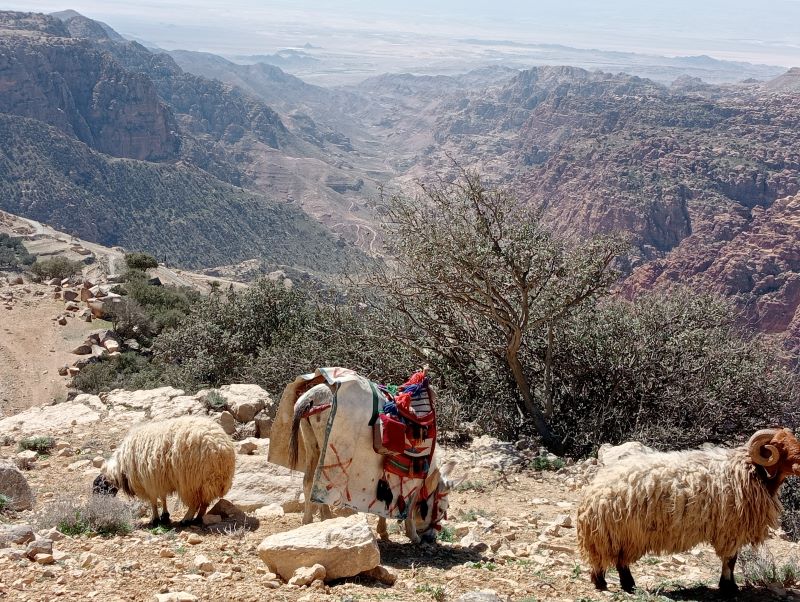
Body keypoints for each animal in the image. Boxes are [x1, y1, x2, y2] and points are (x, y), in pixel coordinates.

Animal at [93, 414, 236, 524]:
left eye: (98, 487)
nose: (97, 504)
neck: (121, 468)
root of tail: (222, 449)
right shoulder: (159, 478)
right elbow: (162, 498)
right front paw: (165, 516)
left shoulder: (149, 481)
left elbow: (153, 501)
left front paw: (155, 519)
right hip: (205, 483)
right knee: (204, 502)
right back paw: (198, 518)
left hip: (191, 481)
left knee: (194, 503)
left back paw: (186, 519)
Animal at [580, 426, 800, 592]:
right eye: (778, 445)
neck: (752, 471)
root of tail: (592, 494)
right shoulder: (730, 529)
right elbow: (730, 560)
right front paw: (729, 588)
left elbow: (730, 560)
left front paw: (728, 587)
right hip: (621, 532)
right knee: (617, 561)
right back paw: (616, 584)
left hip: (617, 533)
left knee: (615, 560)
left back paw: (613, 583)